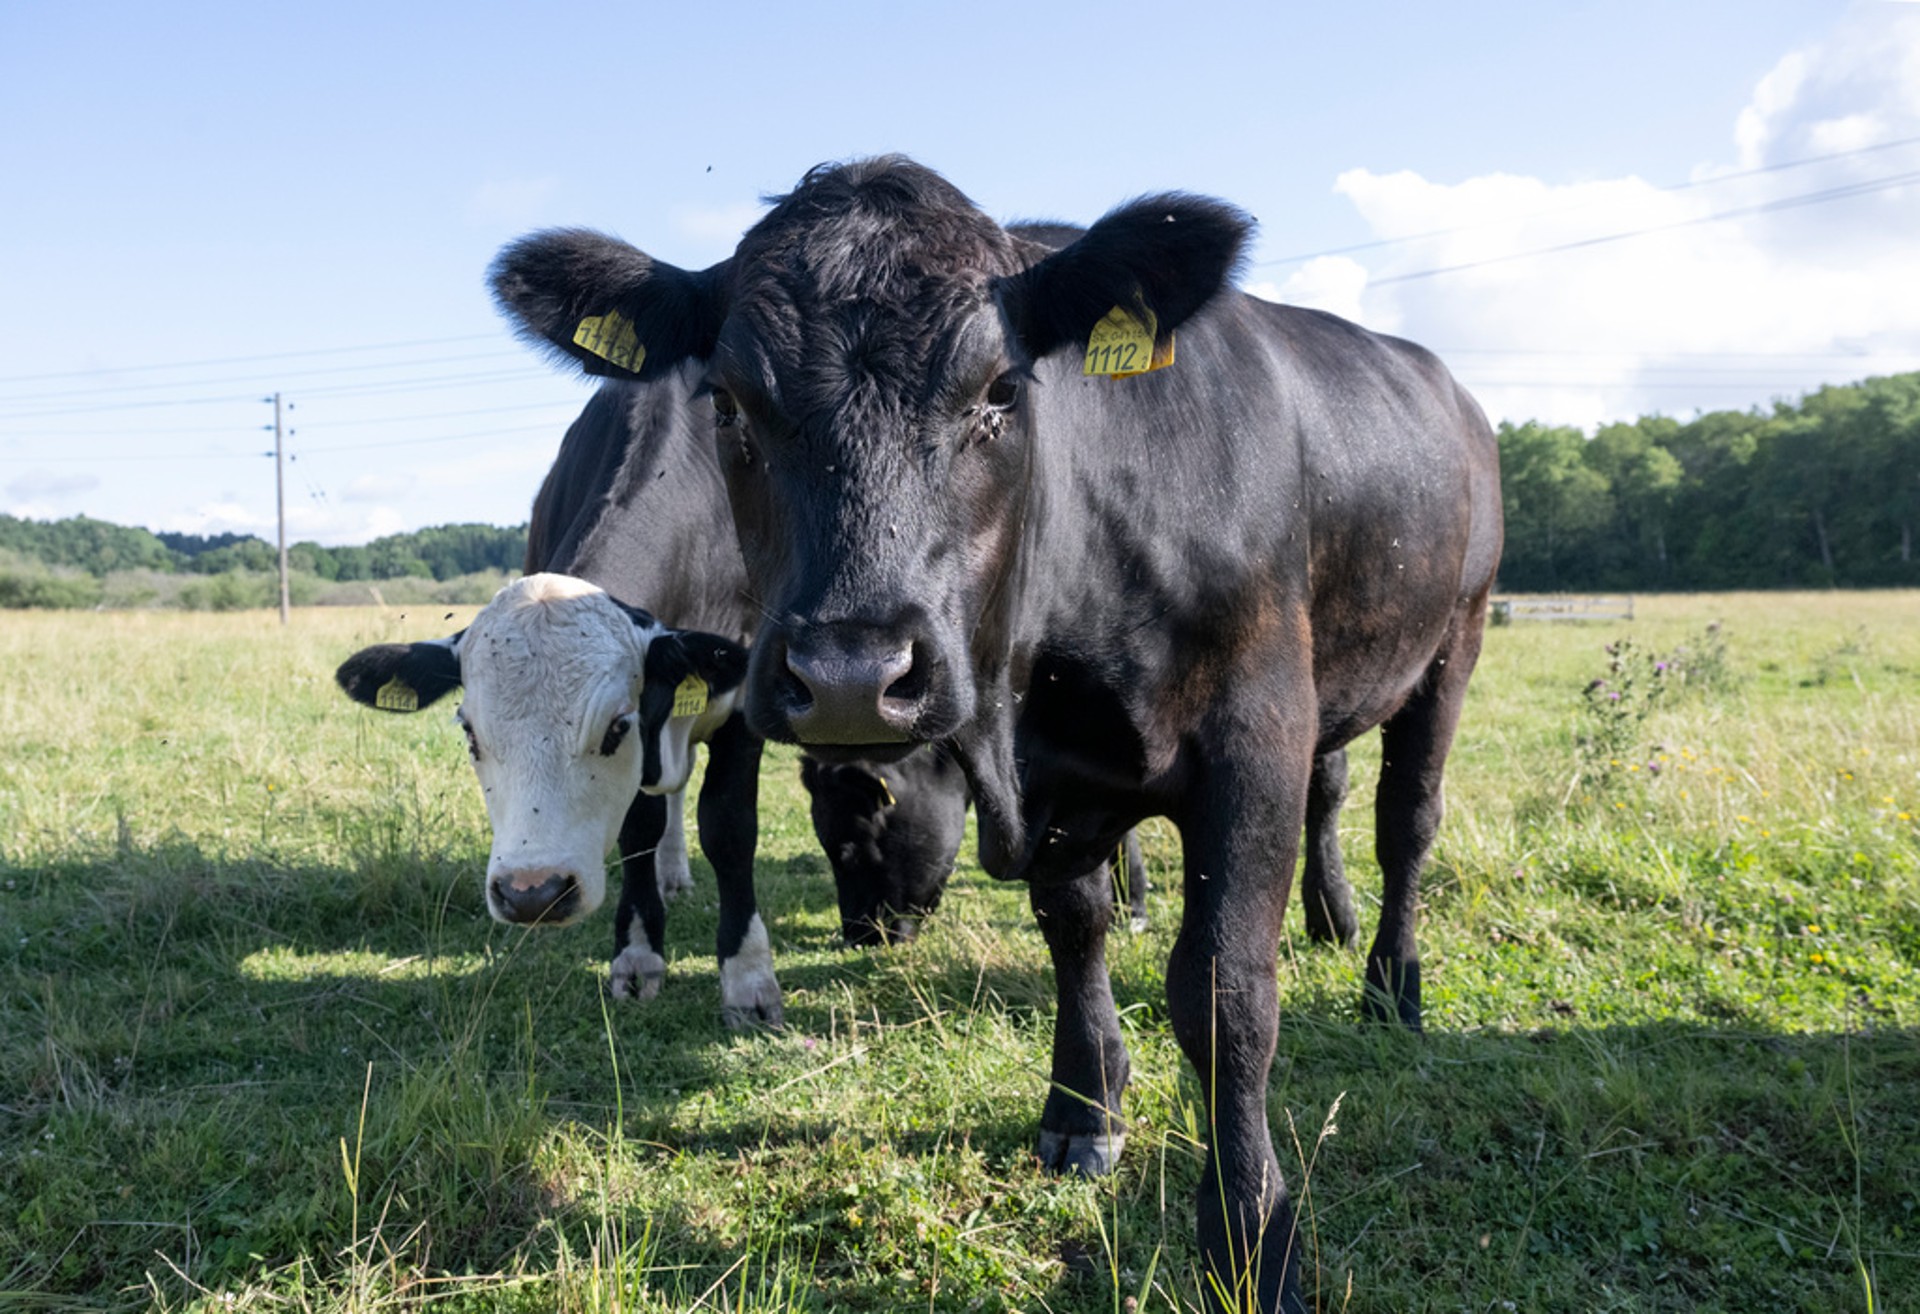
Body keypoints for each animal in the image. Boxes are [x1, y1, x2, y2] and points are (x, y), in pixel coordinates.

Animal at [487, 159, 1505, 1306]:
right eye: (730, 403)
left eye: (1002, 393)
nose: (851, 675)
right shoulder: (1055, 774)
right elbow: (1075, 926)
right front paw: (1083, 1106)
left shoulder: (1256, 738)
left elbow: (1224, 992)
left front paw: (1253, 1237)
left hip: (1453, 641)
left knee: (1404, 820)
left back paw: (1389, 980)